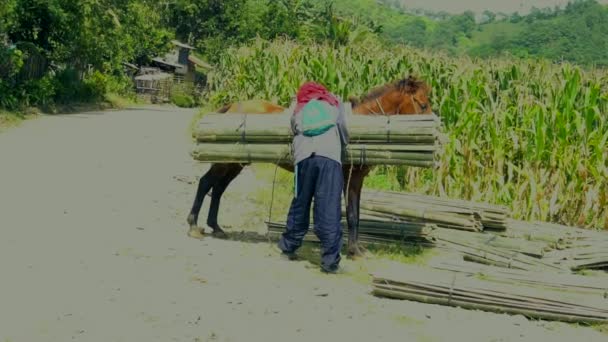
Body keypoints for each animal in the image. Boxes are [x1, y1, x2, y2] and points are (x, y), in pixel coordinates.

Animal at [186, 75, 432, 256]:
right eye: (422, 104)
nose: (436, 129)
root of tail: (232, 107)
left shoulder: (357, 180)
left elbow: (356, 212)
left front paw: (356, 248)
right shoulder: (349, 177)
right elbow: (351, 214)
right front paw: (354, 250)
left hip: (235, 162)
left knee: (218, 188)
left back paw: (216, 227)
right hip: (225, 161)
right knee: (205, 183)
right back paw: (193, 225)